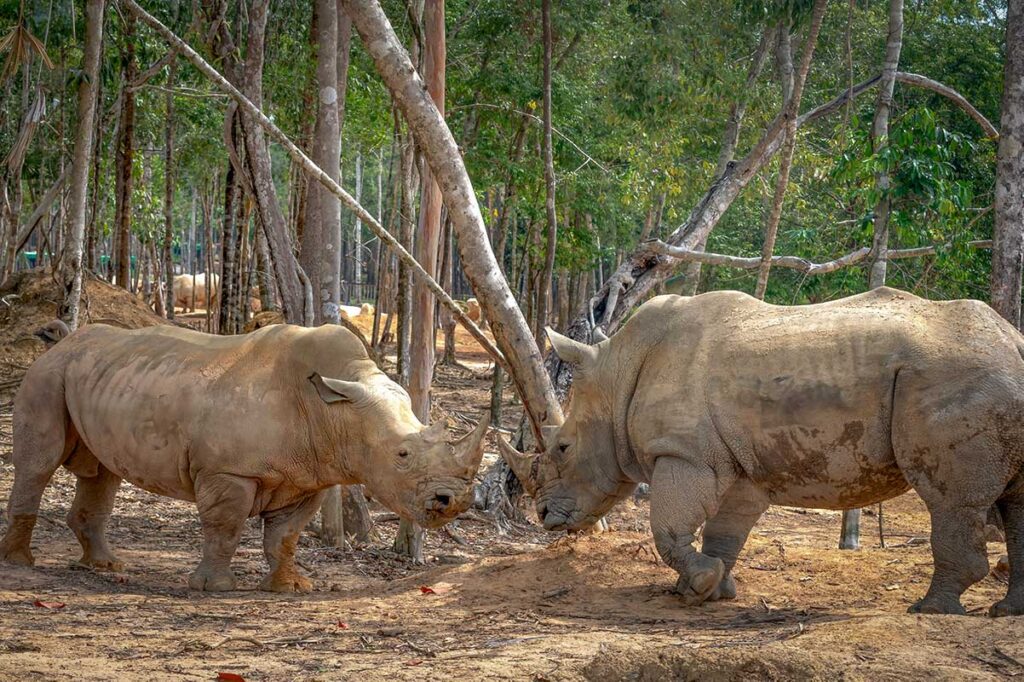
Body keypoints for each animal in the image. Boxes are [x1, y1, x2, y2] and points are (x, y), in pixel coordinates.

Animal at [0, 323, 488, 592]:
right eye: (402, 454)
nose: (453, 503)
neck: (336, 411)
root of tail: (61, 344)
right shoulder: (227, 470)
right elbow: (226, 526)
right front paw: (212, 587)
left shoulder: (308, 477)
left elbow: (286, 536)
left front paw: (291, 588)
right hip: (47, 376)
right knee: (39, 465)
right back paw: (20, 563)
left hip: (100, 378)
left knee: (102, 473)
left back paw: (106, 565)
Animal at [501, 288, 1024, 616]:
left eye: (563, 448)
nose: (543, 516)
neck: (617, 376)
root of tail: (1012, 342)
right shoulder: (740, 466)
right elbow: (725, 531)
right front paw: (707, 589)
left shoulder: (684, 453)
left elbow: (667, 527)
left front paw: (700, 584)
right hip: (990, 373)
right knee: (1014, 498)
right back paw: (1004, 612)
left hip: (955, 374)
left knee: (950, 500)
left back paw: (931, 609)